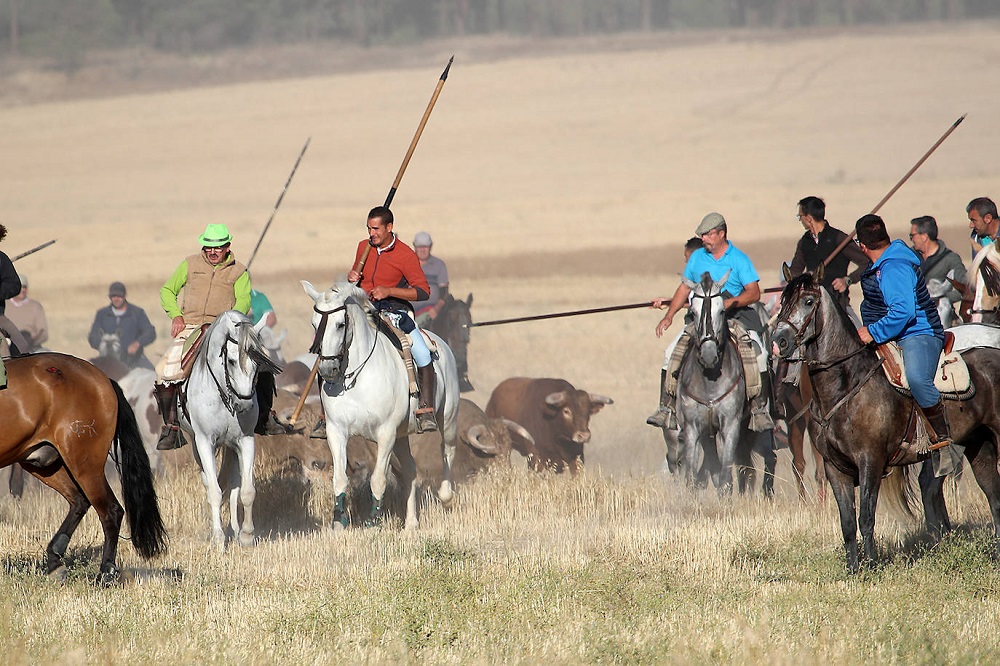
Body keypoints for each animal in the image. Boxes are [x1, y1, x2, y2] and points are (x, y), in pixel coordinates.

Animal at [0, 352, 166, 580]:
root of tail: (103, 379)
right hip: (43, 462)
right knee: (79, 501)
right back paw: (55, 560)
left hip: (85, 464)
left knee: (111, 510)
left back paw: (106, 572)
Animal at [178, 308, 282, 544]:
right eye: (232, 361)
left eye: (258, 363)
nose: (244, 404)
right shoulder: (205, 442)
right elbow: (215, 491)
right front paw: (218, 537)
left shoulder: (245, 440)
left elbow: (247, 490)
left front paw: (246, 535)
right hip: (196, 444)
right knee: (209, 482)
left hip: (232, 447)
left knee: (234, 484)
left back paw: (234, 529)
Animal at [302, 278, 462, 528]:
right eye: (314, 324)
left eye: (340, 324)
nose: (327, 369)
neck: (357, 376)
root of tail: (442, 343)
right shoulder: (336, 431)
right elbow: (340, 478)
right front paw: (339, 521)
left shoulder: (386, 433)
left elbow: (378, 479)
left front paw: (373, 520)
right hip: (402, 436)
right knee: (410, 471)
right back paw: (411, 524)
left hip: (448, 419)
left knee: (448, 450)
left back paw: (446, 497)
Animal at [772, 270, 1000, 572]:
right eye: (784, 301)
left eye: (808, 301)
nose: (780, 341)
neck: (847, 386)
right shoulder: (835, 469)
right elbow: (847, 523)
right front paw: (853, 569)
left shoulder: (870, 461)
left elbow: (866, 518)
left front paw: (870, 566)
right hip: (979, 447)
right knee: (993, 497)